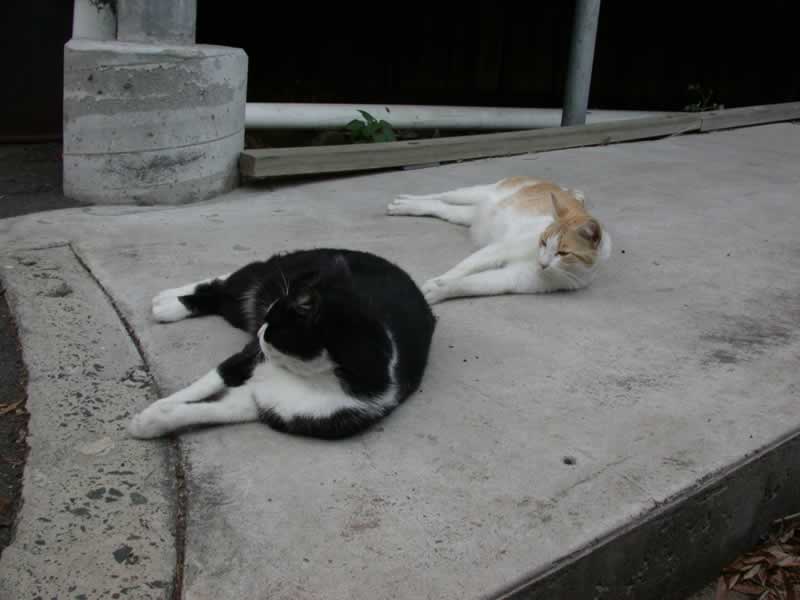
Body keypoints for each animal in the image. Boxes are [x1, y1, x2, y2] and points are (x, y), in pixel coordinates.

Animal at [128, 249, 436, 440]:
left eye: (273, 326)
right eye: (268, 318)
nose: (260, 332)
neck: (306, 375)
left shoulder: (282, 406)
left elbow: (209, 411)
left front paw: (151, 421)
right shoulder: (247, 358)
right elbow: (208, 381)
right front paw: (157, 407)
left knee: (226, 296)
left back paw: (169, 302)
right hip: (272, 275)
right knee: (233, 281)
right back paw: (169, 302)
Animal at [386, 176, 612, 304]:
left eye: (563, 253)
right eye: (544, 241)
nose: (543, 263)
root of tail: (559, 186)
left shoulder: (510, 278)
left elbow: (468, 283)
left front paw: (438, 289)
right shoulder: (499, 248)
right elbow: (463, 267)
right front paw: (441, 279)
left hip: (464, 214)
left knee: (440, 207)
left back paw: (409, 206)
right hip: (472, 193)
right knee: (441, 195)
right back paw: (405, 201)